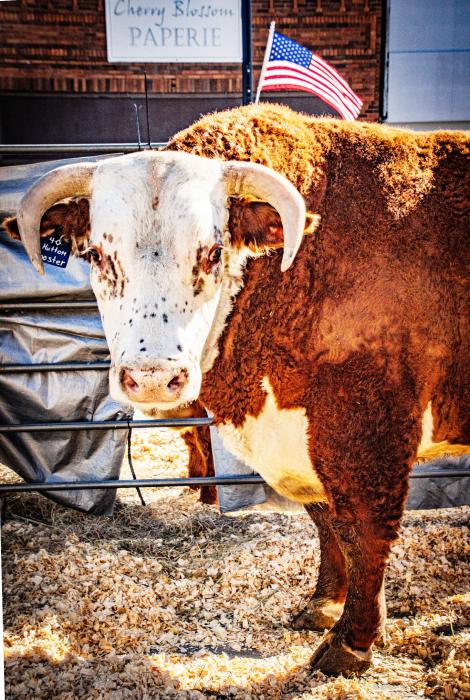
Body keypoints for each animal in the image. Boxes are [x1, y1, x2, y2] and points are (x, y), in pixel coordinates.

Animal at [3, 104, 469, 677]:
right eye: (95, 254)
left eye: (213, 252)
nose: (153, 377)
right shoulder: (301, 443)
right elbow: (327, 521)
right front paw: (323, 602)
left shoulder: (365, 432)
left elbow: (364, 529)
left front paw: (352, 642)